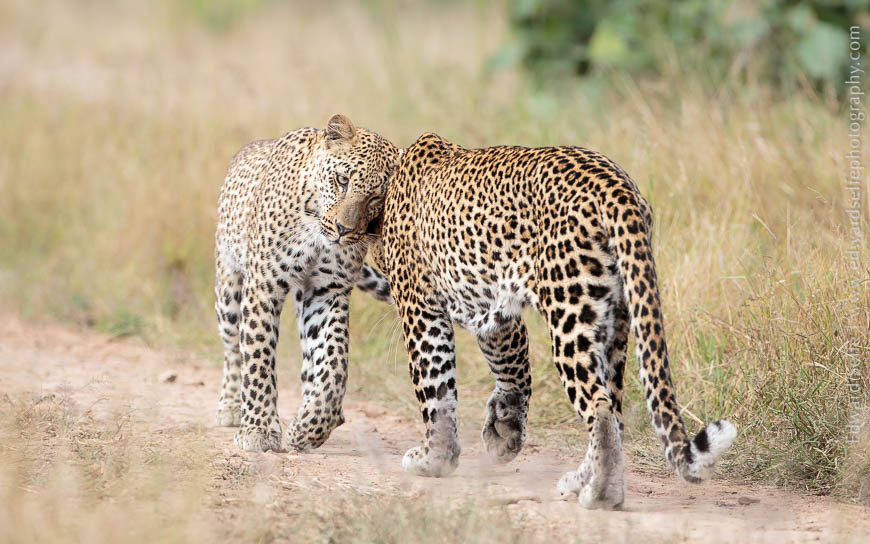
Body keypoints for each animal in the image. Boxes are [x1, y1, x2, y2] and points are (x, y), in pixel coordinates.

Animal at [214, 114, 397, 453]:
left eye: (376, 197)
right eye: (342, 180)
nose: (344, 229)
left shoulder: (326, 291)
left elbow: (335, 364)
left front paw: (311, 426)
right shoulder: (263, 284)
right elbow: (257, 356)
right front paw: (258, 429)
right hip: (228, 290)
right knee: (233, 349)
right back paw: (231, 407)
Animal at [369, 132, 737, 509]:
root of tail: (616, 185)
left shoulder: (421, 309)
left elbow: (435, 388)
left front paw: (433, 459)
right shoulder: (496, 310)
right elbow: (511, 368)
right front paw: (504, 429)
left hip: (569, 313)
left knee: (599, 408)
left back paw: (601, 494)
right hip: (616, 321)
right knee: (614, 411)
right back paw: (580, 481)